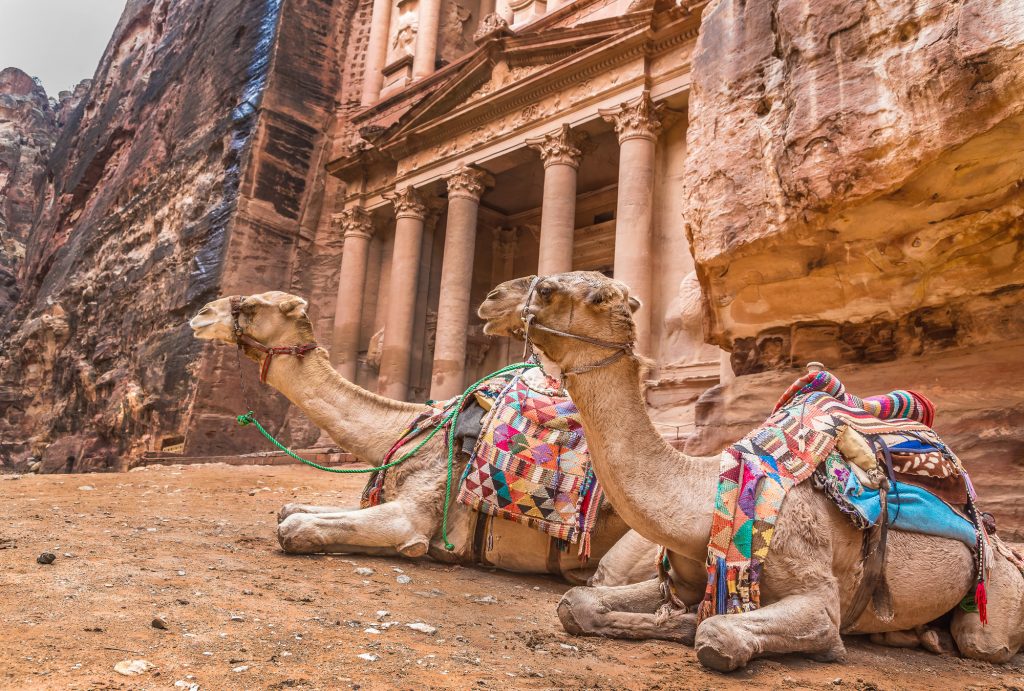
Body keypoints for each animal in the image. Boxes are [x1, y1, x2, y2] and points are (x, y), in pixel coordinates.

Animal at [191, 288, 655, 585]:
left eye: (252, 305)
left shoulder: (412, 512)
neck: (407, 428)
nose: (201, 313)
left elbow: (294, 528)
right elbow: (291, 509)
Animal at [479, 272, 1024, 671]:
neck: (704, 497)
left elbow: (720, 631)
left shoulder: (814, 590)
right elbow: (577, 603)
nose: (500, 295)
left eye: (594, 295)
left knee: (984, 643)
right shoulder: (683, 574)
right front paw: (673, 620)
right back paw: (916, 634)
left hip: (994, 589)